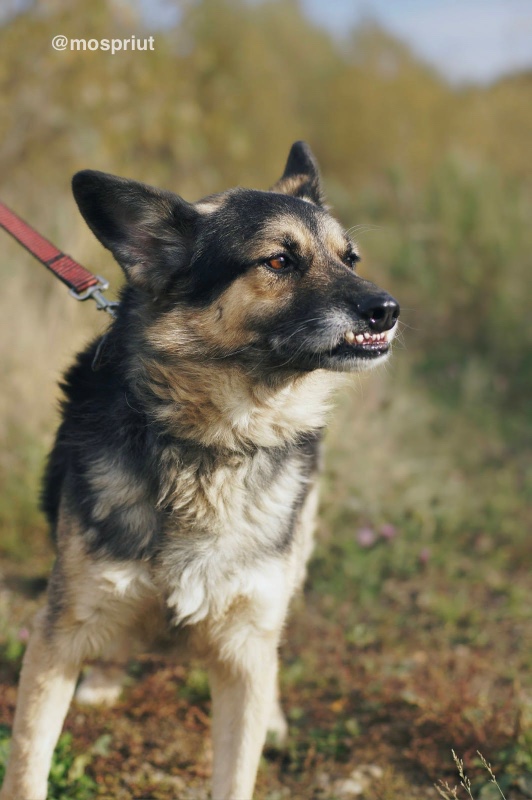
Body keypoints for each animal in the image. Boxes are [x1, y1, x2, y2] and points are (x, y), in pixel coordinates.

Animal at [0, 141, 400, 796]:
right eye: (279, 260)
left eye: (350, 258)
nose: (387, 309)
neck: (213, 444)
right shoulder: (54, 642)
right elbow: (29, 767)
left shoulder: (243, 652)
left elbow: (238, 769)